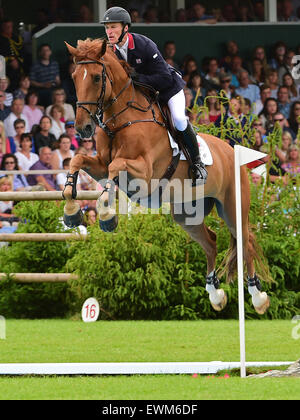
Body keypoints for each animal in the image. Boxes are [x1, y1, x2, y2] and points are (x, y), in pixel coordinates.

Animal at [62, 38, 270, 316]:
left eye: (96, 77)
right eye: (74, 77)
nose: (83, 128)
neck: (122, 120)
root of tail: (231, 151)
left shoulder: (144, 172)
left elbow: (117, 166)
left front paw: (106, 215)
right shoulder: (99, 165)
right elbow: (78, 160)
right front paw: (72, 211)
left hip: (232, 207)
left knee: (245, 241)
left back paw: (258, 297)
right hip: (186, 214)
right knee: (212, 242)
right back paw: (215, 294)